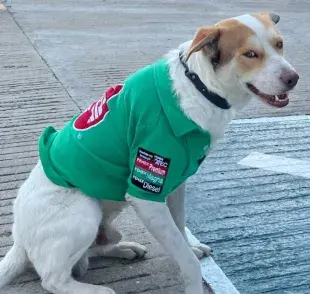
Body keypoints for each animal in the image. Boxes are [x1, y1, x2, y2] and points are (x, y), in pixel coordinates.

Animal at [0, 12, 300, 294]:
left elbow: (180, 227)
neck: (198, 85)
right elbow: (186, 260)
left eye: (280, 44)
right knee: (53, 278)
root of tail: (19, 240)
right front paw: (192, 278)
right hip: (84, 210)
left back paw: (124, 249)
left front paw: (189, 248)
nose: (293, 78)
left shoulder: (176, 183)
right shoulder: (146, 196)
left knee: (86, 256)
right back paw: (97, 289)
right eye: (250, 54)